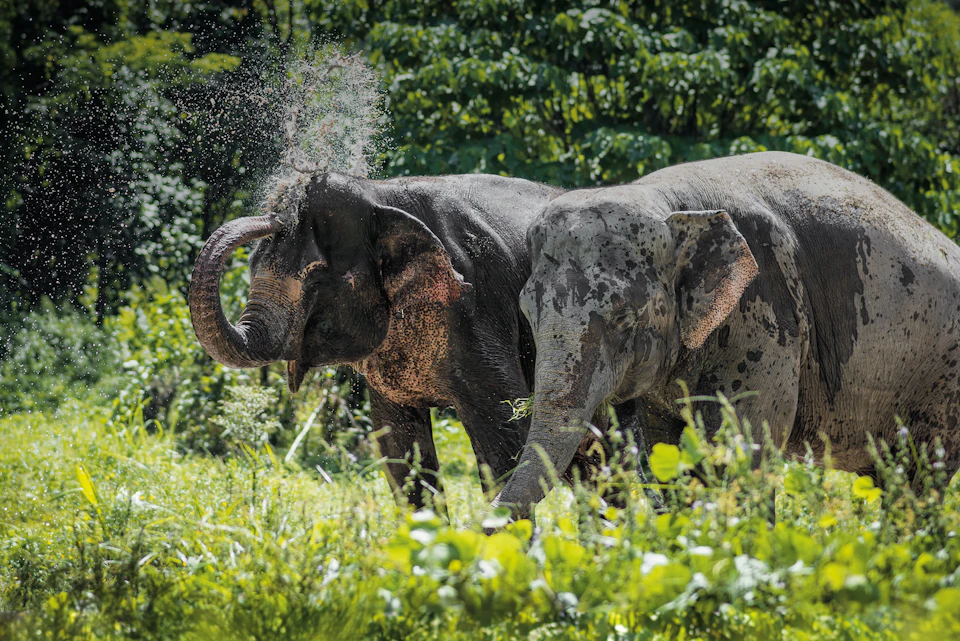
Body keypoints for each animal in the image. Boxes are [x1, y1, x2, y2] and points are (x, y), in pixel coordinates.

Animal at [189, 171, 573, 510]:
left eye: (316, 281)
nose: (276, 215)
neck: (379, 195)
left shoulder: (478, 308)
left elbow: (507, 434)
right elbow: (398, 448)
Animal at [493, 151, 960, 519]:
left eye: (625, 316)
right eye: (527, 311)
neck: (667, 203)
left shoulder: (765, 313)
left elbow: (739, 451)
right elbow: (666, 452)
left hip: (940, 381)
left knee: (922, 477)